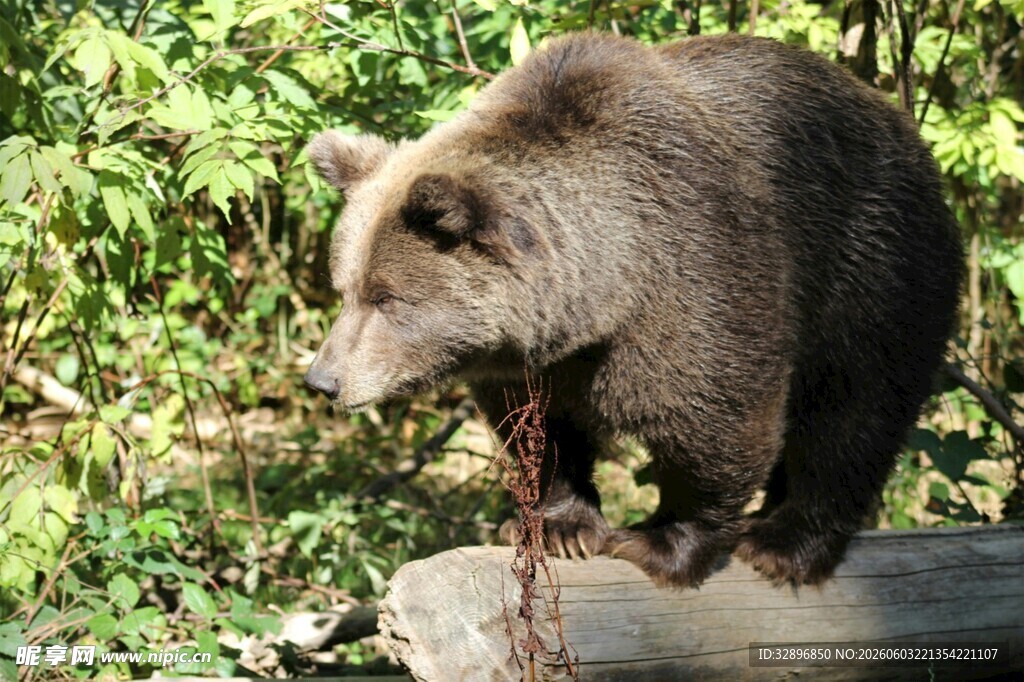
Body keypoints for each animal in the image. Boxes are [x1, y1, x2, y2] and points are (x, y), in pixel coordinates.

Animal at [302, 32, 964, 587]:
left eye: (388, 297)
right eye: (345, 288)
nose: (323, 380)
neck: (606, 293)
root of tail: (906, 129)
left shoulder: (702, 272)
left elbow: (718, 420)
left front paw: (661, 542)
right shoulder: (532, 361)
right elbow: (539, 431)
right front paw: (558, 525)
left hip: (873, 266)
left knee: (853, 411)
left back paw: (784, 543)